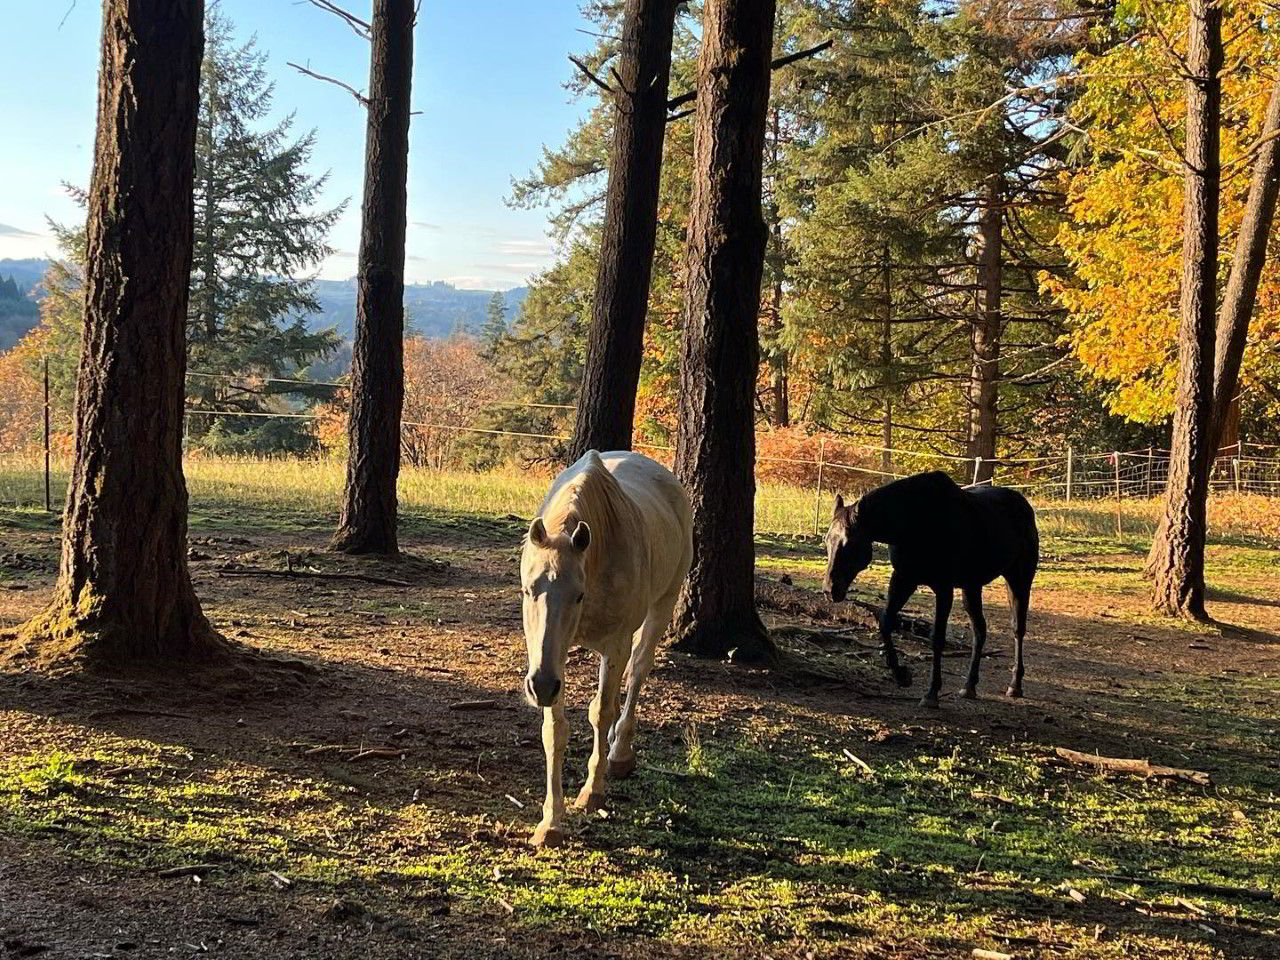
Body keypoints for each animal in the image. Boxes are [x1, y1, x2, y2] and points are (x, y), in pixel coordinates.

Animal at [519, 450, 696, 849]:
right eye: (528, 589)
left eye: (578, 594)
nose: (540, 686)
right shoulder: (550, 658)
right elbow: (555, 730)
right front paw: (550, 823)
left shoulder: (614, 644)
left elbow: (601, 712)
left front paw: (591, 793)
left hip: (662, 606)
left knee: (637, 673)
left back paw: (619, 754)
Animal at [819, 471, 1039, 711]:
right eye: (826, 540)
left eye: (849, 543)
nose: (830, 590)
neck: (916, 522)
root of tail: (1025, 506)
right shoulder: (904, 579)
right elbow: (885, 622)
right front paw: (901, 675)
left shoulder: (943, 588)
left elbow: (937, 638)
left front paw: (931, 693)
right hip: (972, 586)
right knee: (980, 631)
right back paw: (969, 686)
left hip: (1019, 579)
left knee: (1018, 629)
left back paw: (1015, 685)